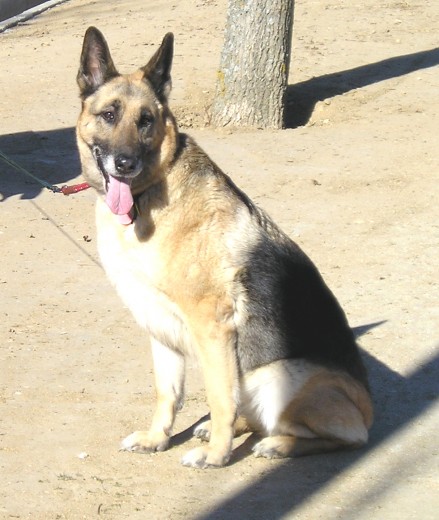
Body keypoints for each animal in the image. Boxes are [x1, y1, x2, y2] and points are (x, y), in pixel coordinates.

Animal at [76, 26, 374, 470]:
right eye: (109, 115)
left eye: (146, 121)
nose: (125, 164)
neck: (150, 194)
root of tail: (367, 407)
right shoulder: (158, 325)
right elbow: (167, 392)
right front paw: (157, 438)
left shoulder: (212, 325)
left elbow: (219, 398)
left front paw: (216, 455)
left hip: (276, 377)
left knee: (344, 436)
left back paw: (276, 445)